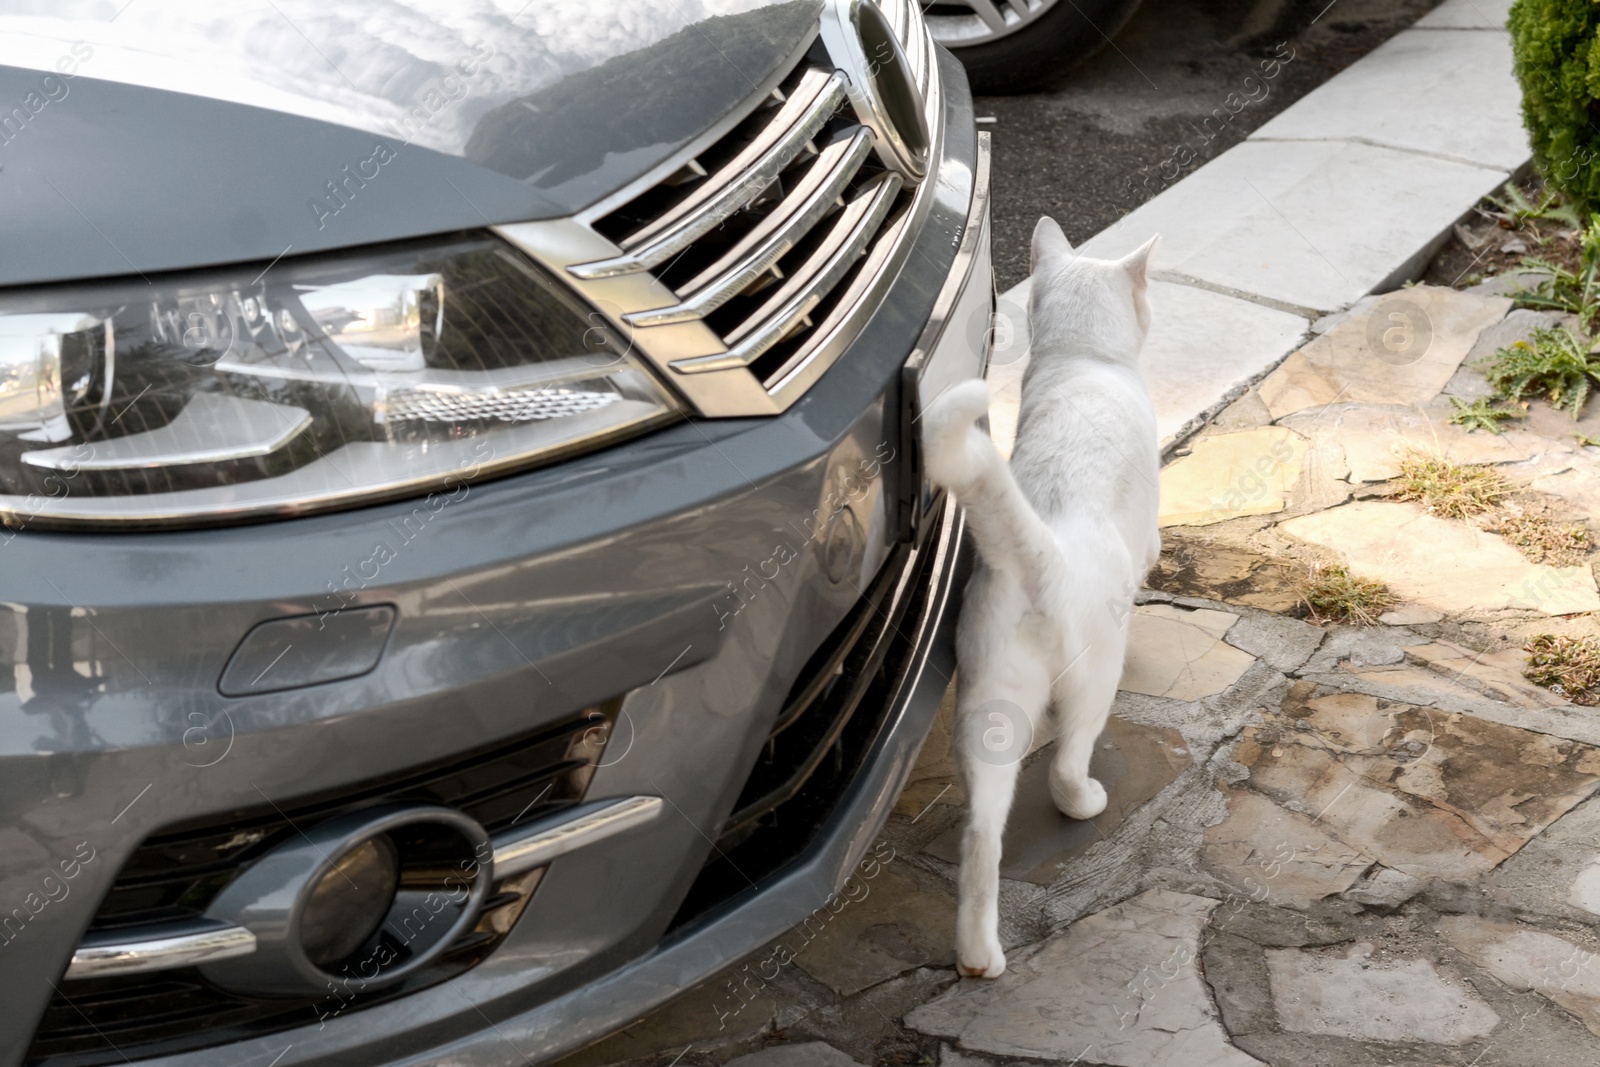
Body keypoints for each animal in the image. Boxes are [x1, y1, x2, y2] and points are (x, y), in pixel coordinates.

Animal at [921, 217, 1158, 979]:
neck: (1080, 360)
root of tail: (1042, 555)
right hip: (1095, 678)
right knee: (1062, 765)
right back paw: (1086, 801)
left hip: (986, 712)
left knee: (981, 836)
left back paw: (978, 956)